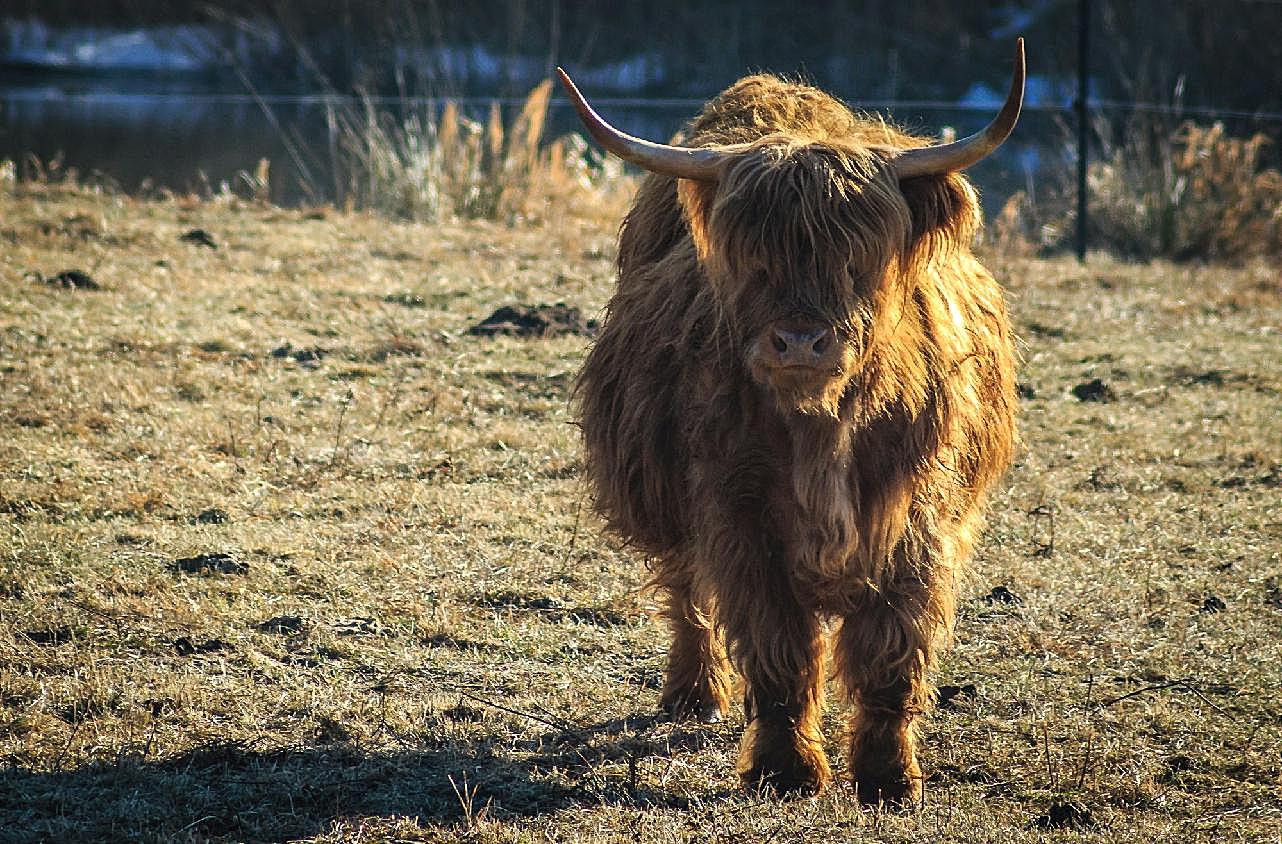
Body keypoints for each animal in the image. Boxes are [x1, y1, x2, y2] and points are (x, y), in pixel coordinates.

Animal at [556, 41, 1025, 800]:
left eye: (858, 258)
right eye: (754, 259)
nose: (801, 342)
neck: (822, 430)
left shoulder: (915, 514)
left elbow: (892, 648)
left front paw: (889, 776)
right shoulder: (740, 516)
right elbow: (779, 648)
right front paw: (786, 769)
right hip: (666, 493)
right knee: (686, 590)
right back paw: (694, 691)